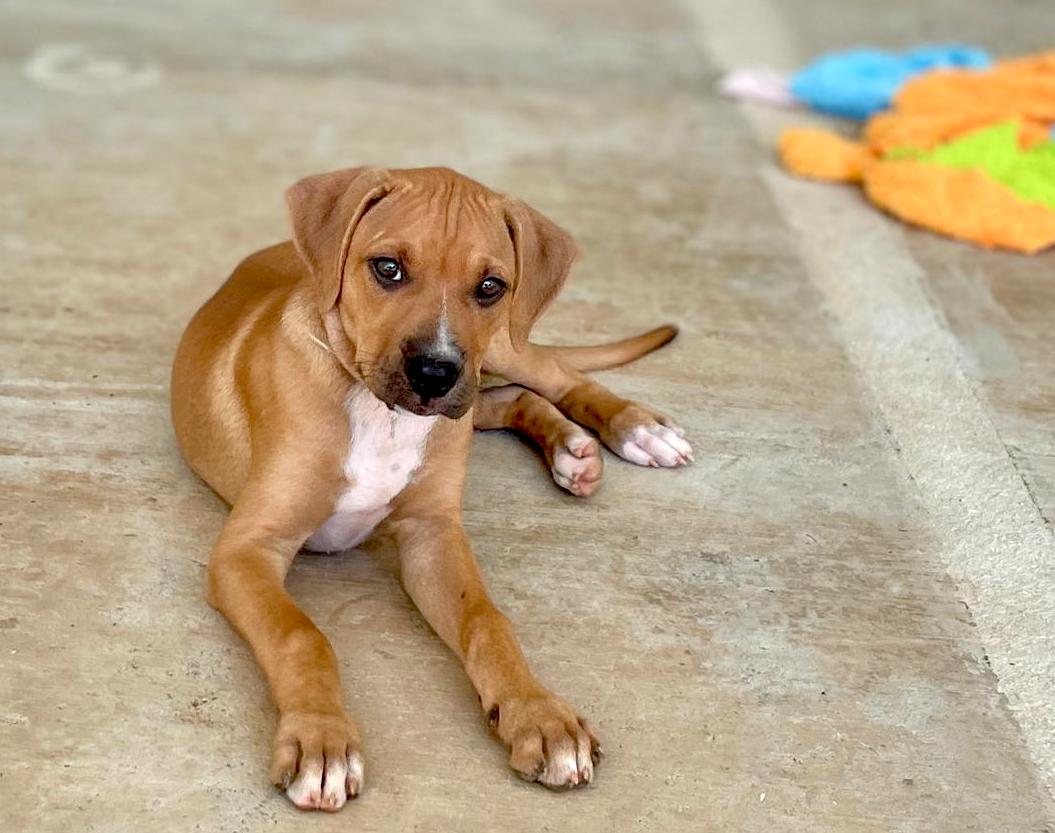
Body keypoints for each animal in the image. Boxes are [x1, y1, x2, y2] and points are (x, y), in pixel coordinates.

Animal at [173, 166, 692, 814]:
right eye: (388, 268)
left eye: (490, 286)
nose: (434, 374)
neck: (380, 412)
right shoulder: (247, 549)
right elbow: (301, 634)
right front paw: (321, 740)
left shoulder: (432, 535)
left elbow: (487, 620)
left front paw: (539, 715)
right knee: (508, 398)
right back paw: (573, 450)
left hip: (500, 347)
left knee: (550, 375)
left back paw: (635, 430)